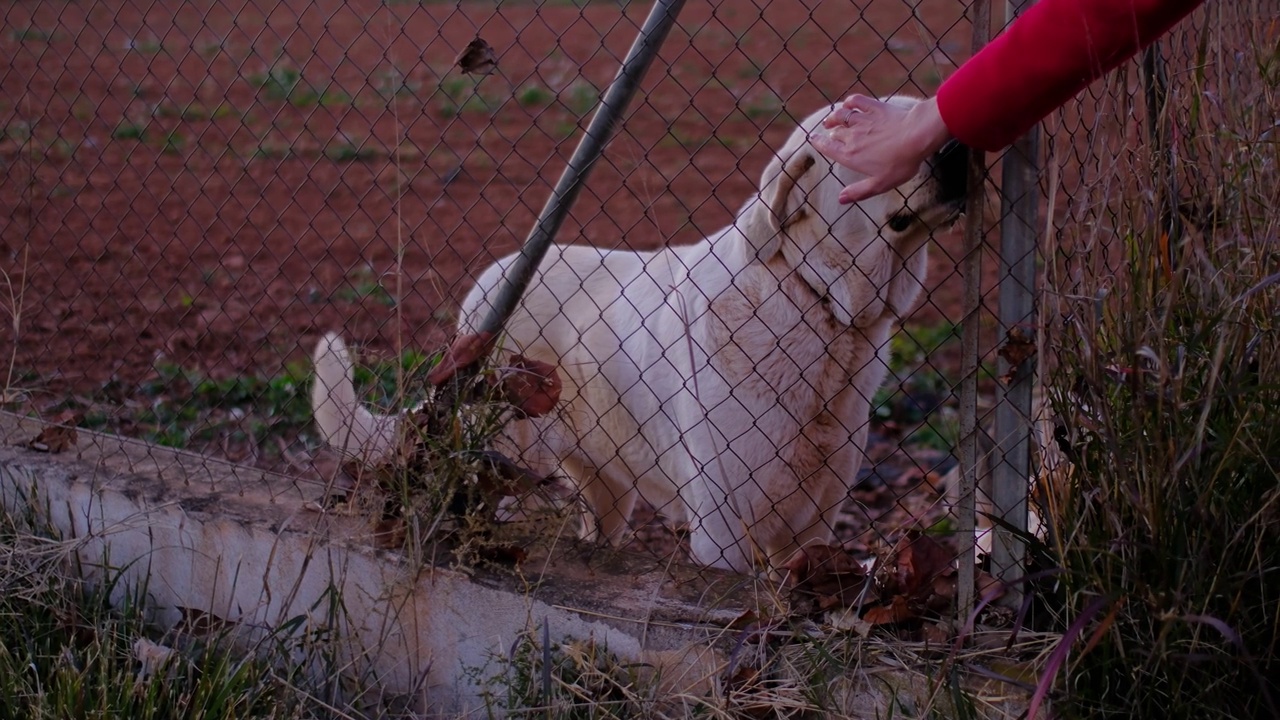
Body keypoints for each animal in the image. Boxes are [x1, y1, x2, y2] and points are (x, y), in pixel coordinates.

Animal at [314, 99, 962, 571]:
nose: (954, 144)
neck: (817, 305)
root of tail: (483, 295)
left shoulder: (814, 523)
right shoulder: (722, 529)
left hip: (607, 488)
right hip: (496, 458)